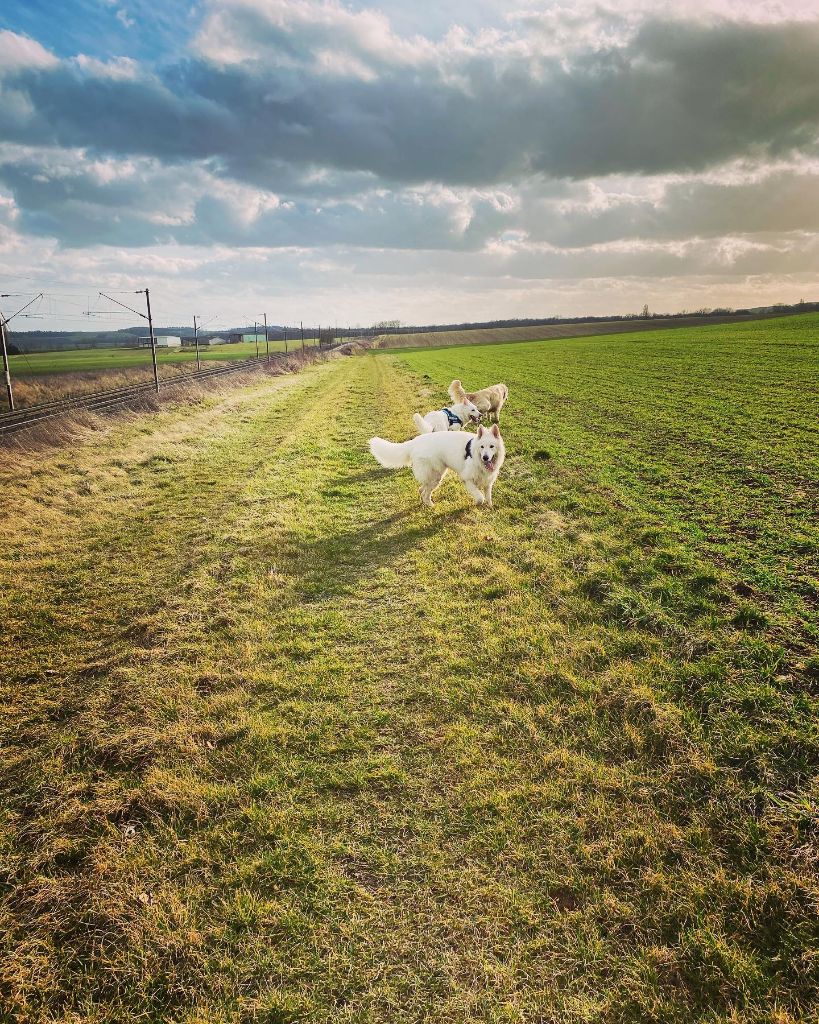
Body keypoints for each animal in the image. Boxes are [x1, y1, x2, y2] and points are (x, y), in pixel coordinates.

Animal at [368, 421, 505, 505]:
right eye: (482, 447)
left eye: (491, 446)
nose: (485, 458)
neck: (476, 458)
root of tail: (416, 441)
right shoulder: (467, 480)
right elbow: (480, 497)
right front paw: (477, 503)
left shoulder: (488, 482)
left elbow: (488, 497)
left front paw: (489, 507)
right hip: (435, 476)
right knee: (425, 492)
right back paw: (430, 505)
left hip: (435, 476)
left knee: (422, 489)